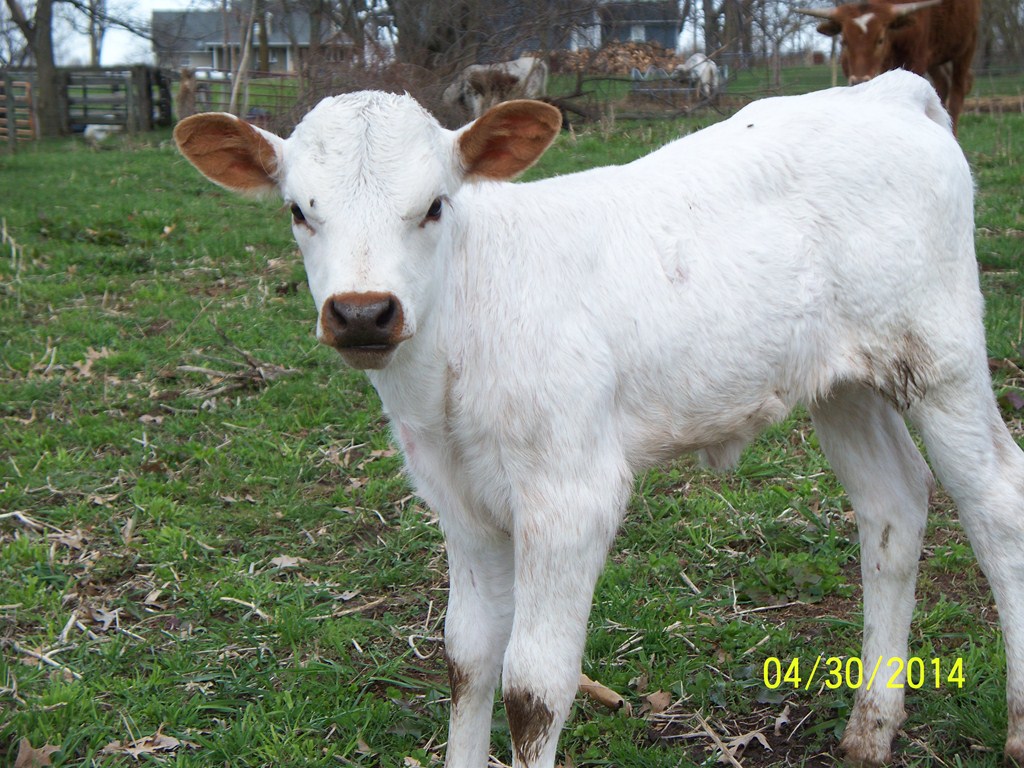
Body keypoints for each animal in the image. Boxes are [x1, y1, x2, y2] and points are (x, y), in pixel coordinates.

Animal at [172, 71, 1024, 768]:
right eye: (298, 212)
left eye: (435, 206)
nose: (362, 313)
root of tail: (885, 93)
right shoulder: (460, 502)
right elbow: (466, 659)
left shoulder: (569, 493)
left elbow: (534, 687)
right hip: (843, 381)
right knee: (893, 505)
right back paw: (870, 728)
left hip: (941, 355)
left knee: (996, 503)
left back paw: (1013, 729)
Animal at [797, 0, 979, 134]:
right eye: (844, 41)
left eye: (880, 39)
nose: (860, 80)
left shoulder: (917, 59)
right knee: (942, 84)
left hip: (966, 47)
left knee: (956, 96)